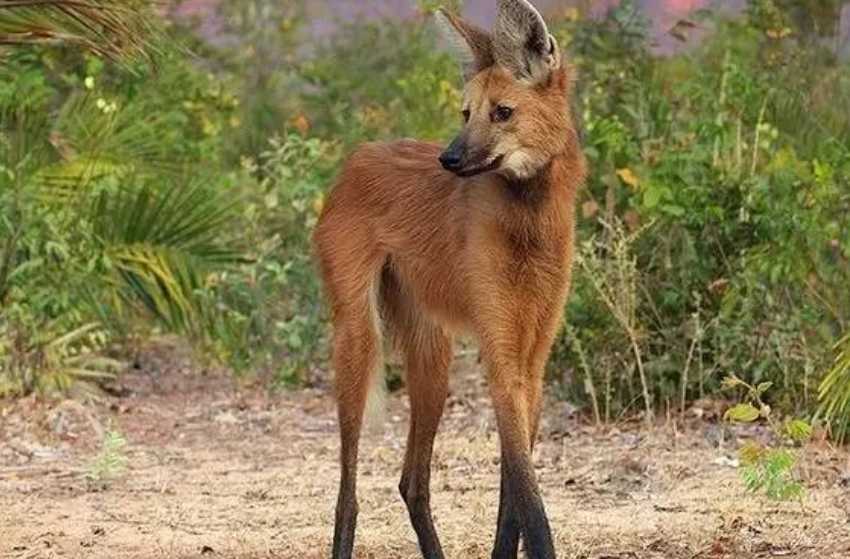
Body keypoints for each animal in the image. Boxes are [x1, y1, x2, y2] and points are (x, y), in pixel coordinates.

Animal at [313, 1, 586, 557]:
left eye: (502, 112)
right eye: (466, 113)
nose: (449, 159)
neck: (529, 223)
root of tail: (357, 156)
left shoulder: (532, 363)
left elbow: (513, 497)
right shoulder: (501, 359)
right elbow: (530, 500)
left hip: (433, 360)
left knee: (411, 481)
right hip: (359, 340)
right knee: (348, 491)